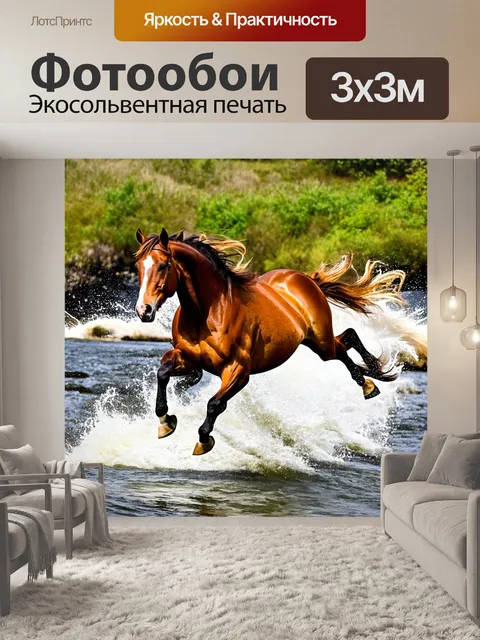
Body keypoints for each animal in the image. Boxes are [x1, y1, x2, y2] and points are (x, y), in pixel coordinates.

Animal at [135, 228, 405, 456]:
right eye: (138, 266)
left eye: (163, 266)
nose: (143, 310)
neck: (207, 312)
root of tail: (307, 279)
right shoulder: (188, 358)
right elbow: (163, 372)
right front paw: (166, 421)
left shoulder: (238, 371)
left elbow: (214, 404)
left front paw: (203, 440)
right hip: (312, 342)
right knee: (346, 340)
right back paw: (370, 377)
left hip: (321, 342)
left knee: (345, 342)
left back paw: (368, 385)